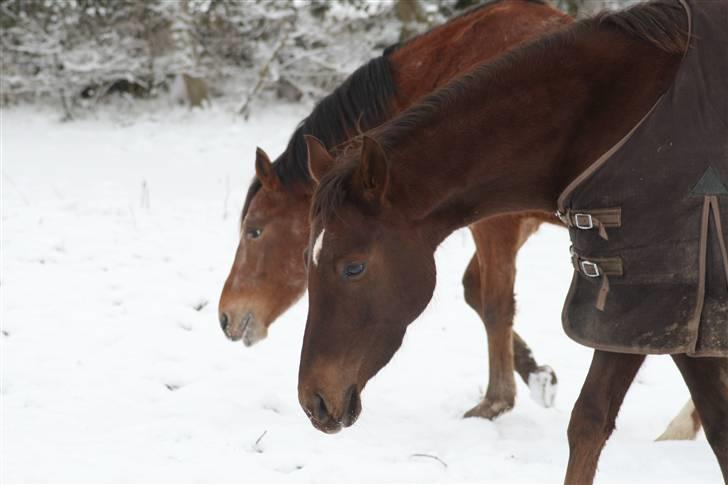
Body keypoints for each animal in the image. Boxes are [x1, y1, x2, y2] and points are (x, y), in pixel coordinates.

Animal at [219, 0, 572, 418]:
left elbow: (495, 304)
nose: (225, 316)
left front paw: (496, 401)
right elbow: (475, 290)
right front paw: (539, 375)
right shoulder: (521, 219)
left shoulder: (496, 223)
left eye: (254, 230)